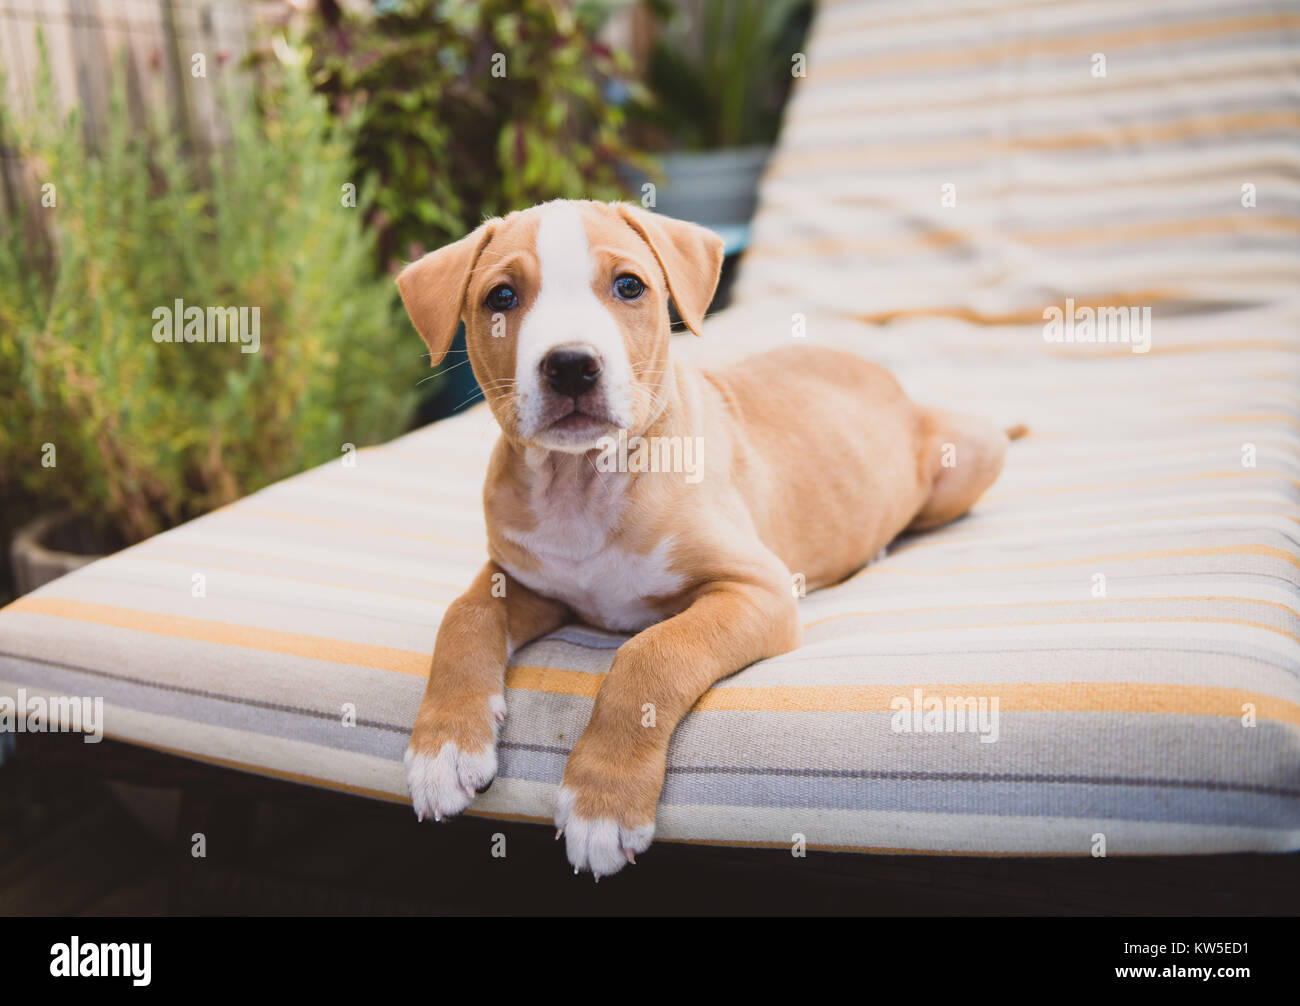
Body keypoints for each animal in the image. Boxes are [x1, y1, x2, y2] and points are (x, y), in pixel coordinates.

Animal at [395, 201, 1013, 878]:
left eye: (629, 286)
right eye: (501, 296)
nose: (572, 364)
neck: (583, 484)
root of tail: (885, 375)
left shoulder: (759, 589)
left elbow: (652, 653)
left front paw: (601, 802)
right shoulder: (519, 576)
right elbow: (464, 616)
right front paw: (444, 748)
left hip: (975, 450)